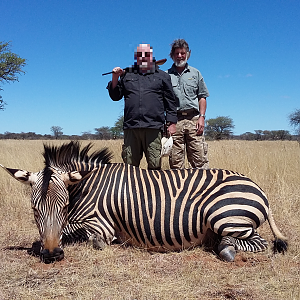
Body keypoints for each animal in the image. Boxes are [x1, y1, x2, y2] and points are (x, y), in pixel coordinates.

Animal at [0, 141, 288, 262]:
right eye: (34, 210)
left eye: (63, 206)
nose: (52, 255)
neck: (87, 186)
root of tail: (258, 188)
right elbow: (45, 236)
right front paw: (41, 245)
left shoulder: (101, 225)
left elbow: (84, 236)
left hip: (225, 216)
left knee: (257, 242)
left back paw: (226, 248)